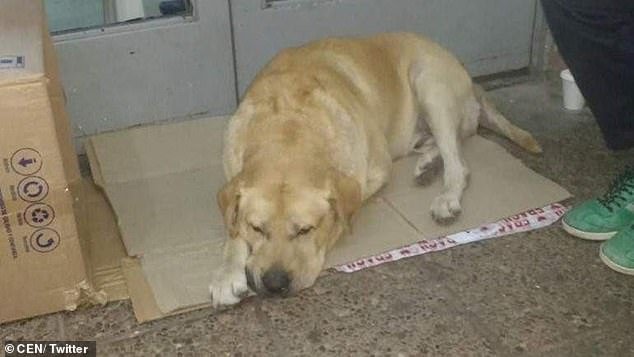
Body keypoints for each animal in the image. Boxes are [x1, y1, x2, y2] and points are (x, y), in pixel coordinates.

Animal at [209, 32, 540, 306]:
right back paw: (427, 165)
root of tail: (467, 73)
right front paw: (227, 271)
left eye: (306, 229)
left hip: (430, 84)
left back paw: (446, 196)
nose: (275, 283)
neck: (287, 127)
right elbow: (233, 229)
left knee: (459, 162)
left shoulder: (374, 172)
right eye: (257, 228)